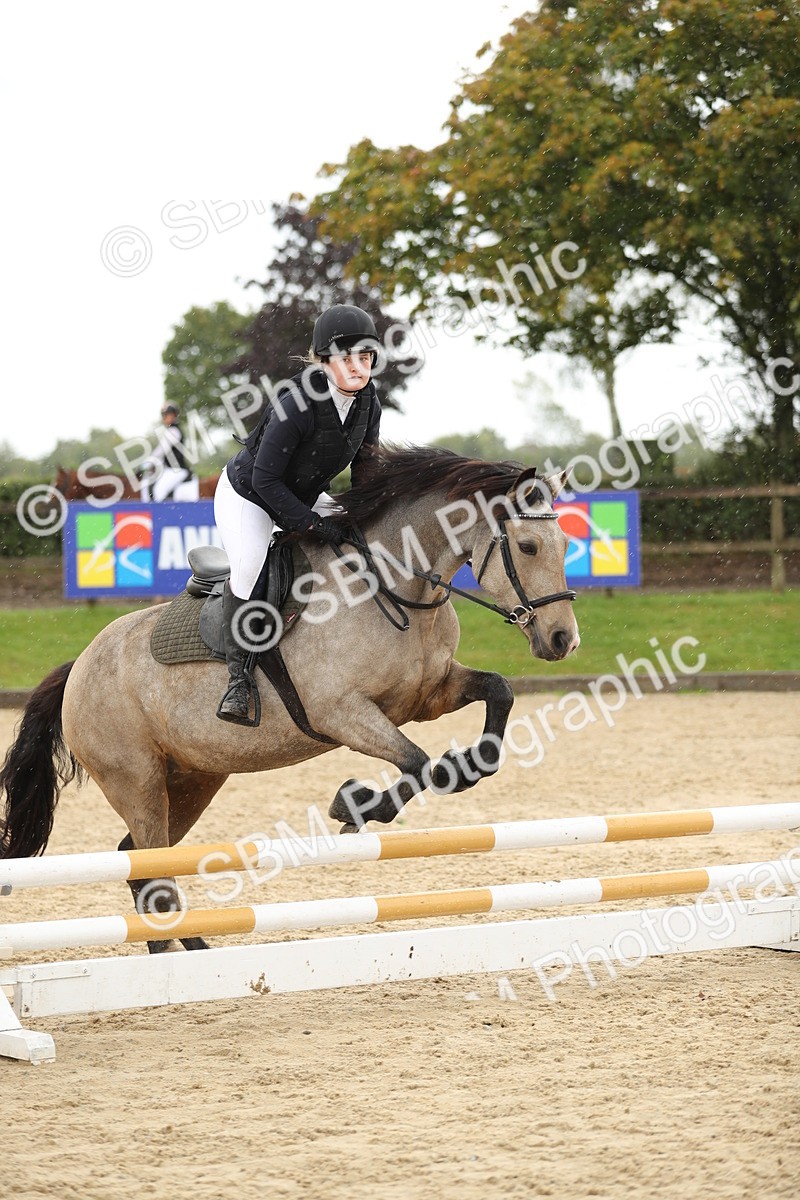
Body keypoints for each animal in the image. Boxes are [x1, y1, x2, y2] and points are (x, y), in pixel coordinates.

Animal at [1, 446, 579, 951]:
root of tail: (79, 667)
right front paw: (354, 802)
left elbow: (498, 693)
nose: (562, 640)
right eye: (528, 547)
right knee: (149, 864)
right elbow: (420, 764)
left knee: (142, 862)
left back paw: (193, 949)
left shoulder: (427, 696)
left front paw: (469, 765)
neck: (393, 585)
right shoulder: (342, 713)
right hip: (136, 779)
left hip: (192, 780)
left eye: (567, 546)